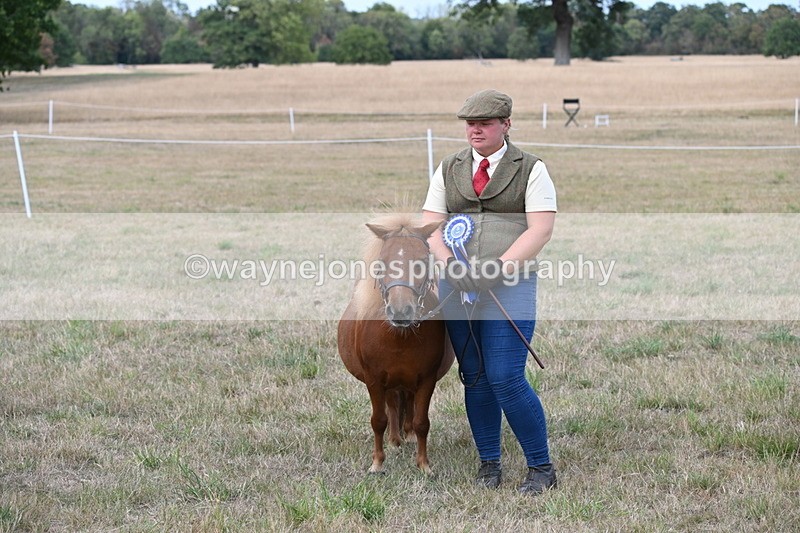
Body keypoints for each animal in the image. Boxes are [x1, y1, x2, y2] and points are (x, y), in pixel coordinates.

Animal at [337, 213, 454, 475]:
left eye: (422, 261)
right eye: (382, 262)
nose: (401, 311)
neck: (399, 337)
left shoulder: (426, 380)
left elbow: (422, 422)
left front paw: (423, 465)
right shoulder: (374, 379)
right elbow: (378, 420)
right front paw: (377, 463)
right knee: (392, 406)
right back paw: (394, 440)